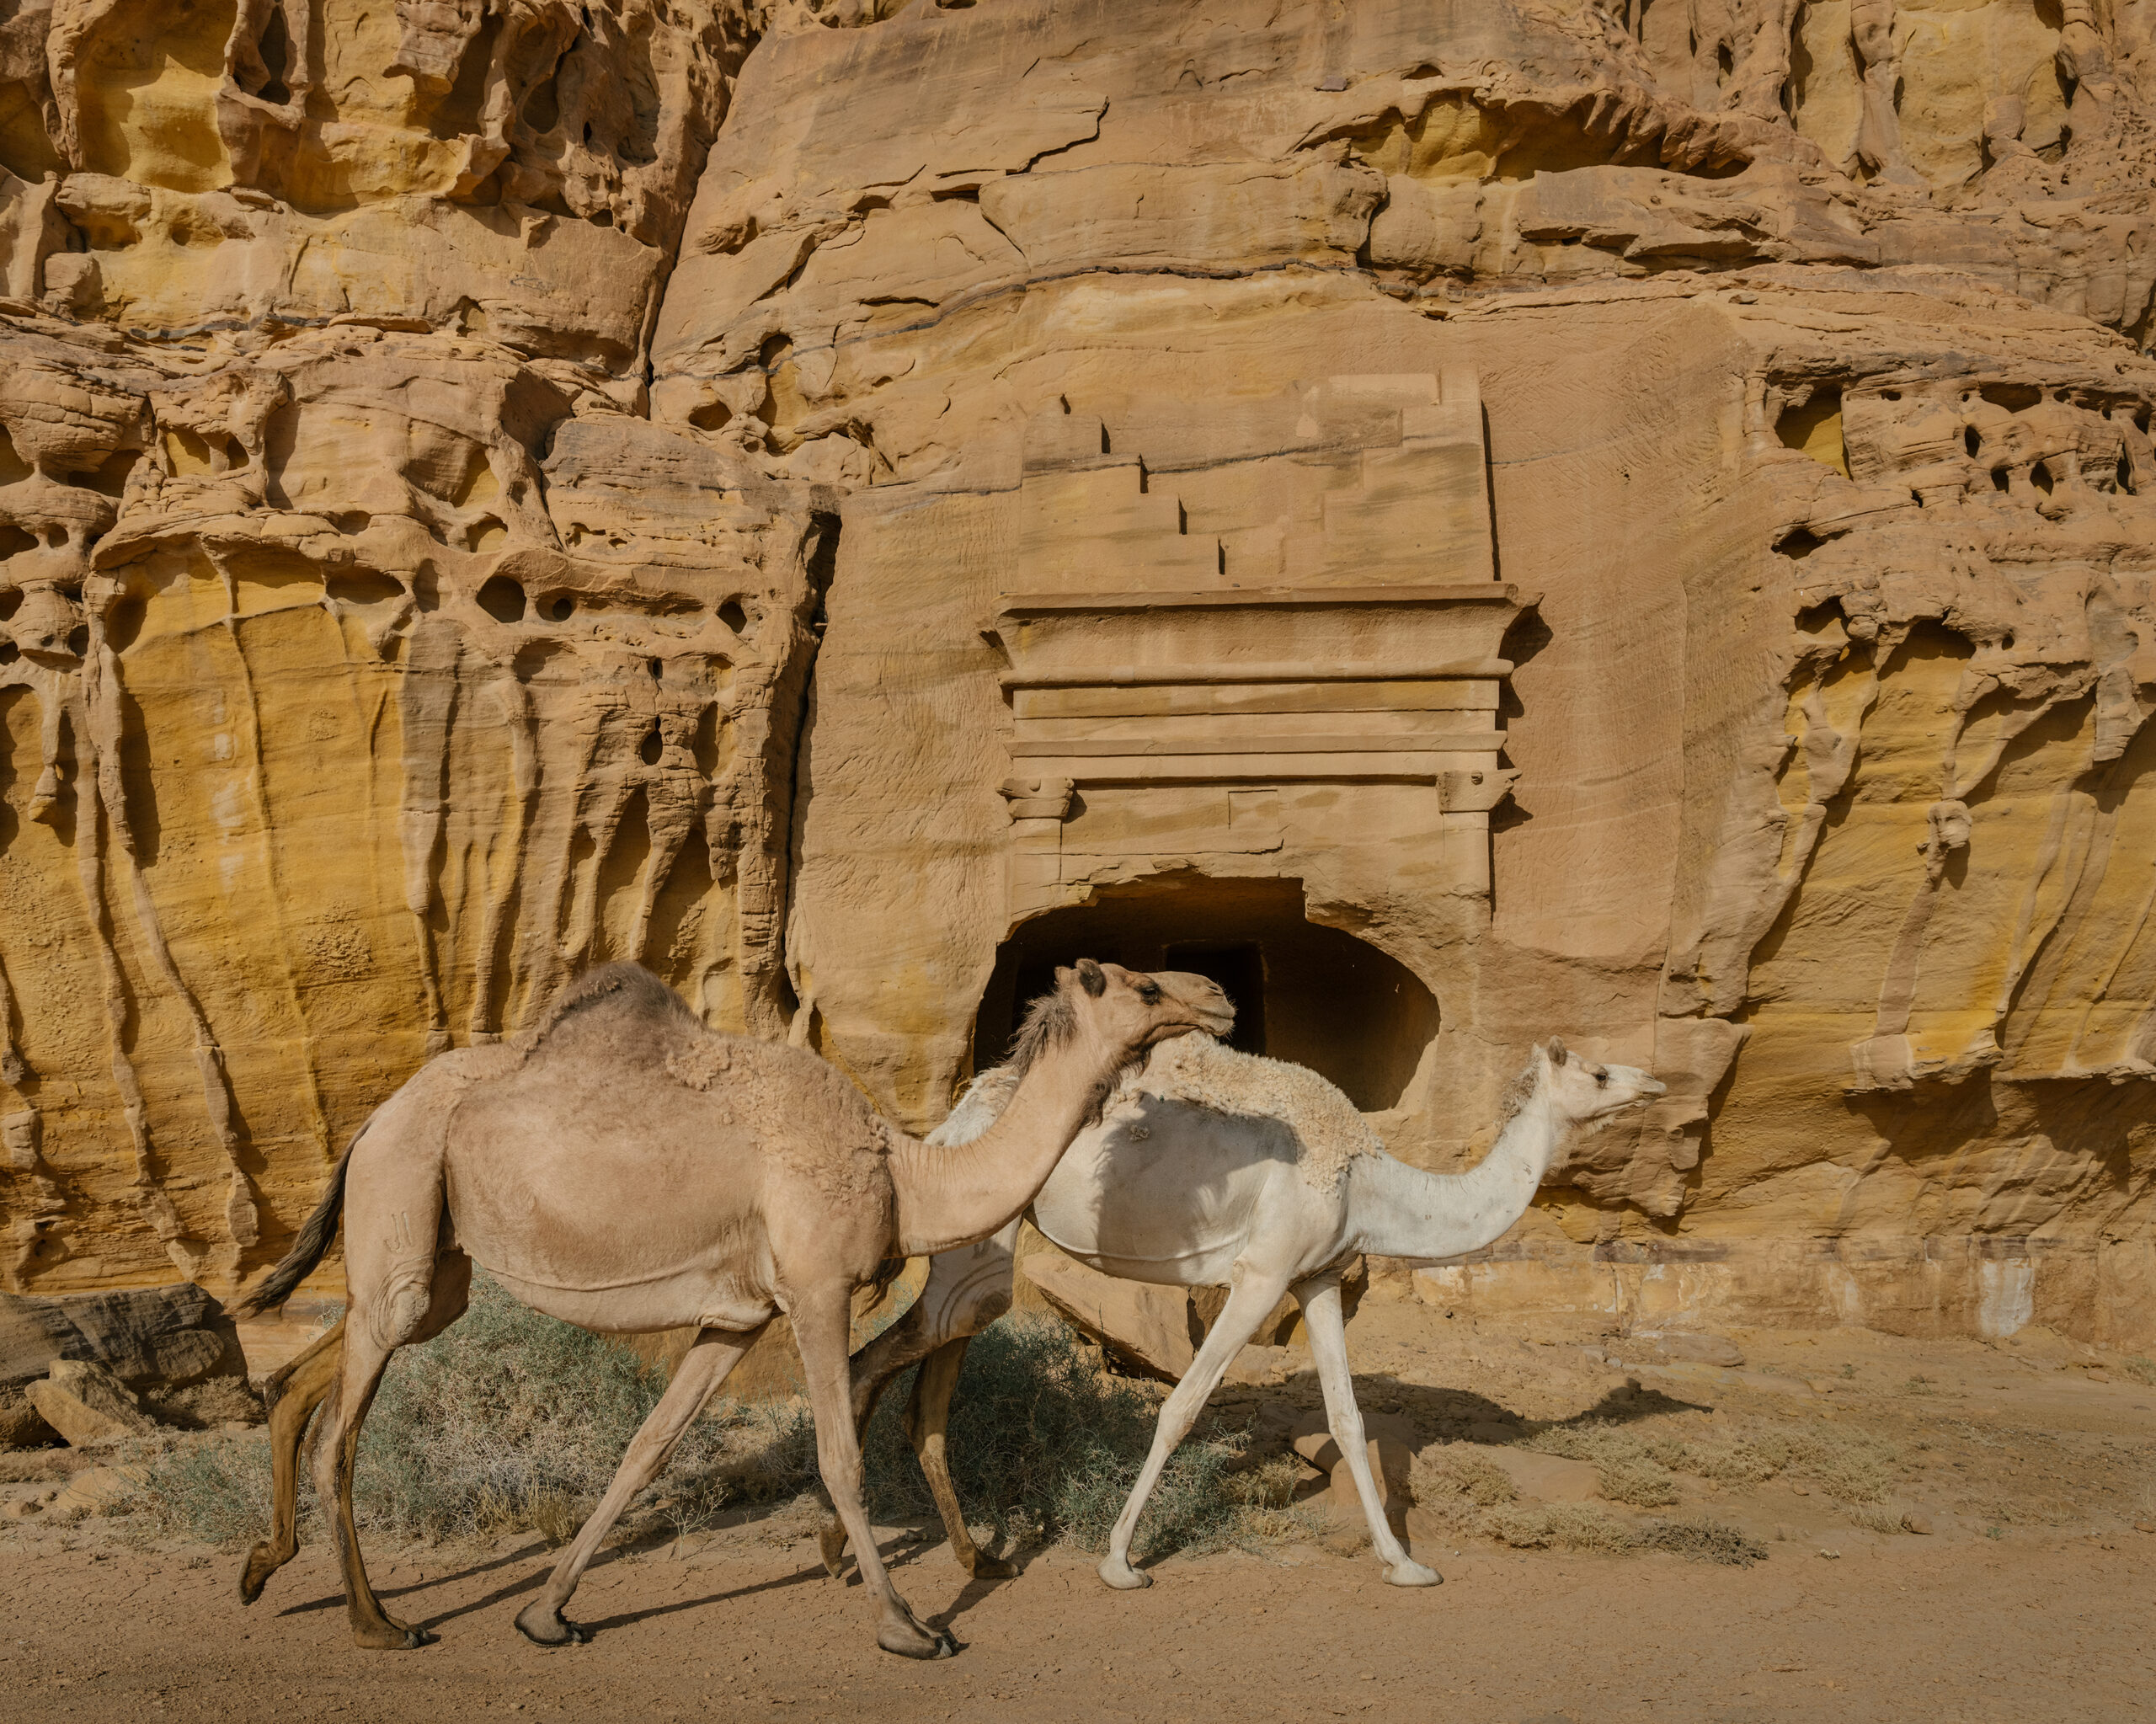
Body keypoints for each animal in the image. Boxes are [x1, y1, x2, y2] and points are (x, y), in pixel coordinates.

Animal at [233, 961, 1233, 1646]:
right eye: (1145, 984)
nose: (1218, 996)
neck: (906, 1174)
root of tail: (371, 1118)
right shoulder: (817, 1288)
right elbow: (839, 1455)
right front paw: (908, 1625)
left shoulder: (736, 1315)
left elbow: (646, 1449)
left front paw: (546, 1613)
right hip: (405, 1190)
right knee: (342, 1431)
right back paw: (377, 1623)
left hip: (433, 1256)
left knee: (320, 1362)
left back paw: (260, 1566)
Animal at [819, 1038, 1646, 1586]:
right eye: (1599, 1070)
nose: (1653, 1080)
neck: (1371, 1181)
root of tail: (951, 1122)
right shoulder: (1262, 1273)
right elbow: (1182, 1406)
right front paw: (1120, 1561)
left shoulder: (1316, 1277)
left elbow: (1349, 1420)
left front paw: (1405, 1563)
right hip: (981, 1234)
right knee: (875, 1358)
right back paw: (858, 1551)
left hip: (977, 1242)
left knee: (925, 1383)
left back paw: (963, 1556)